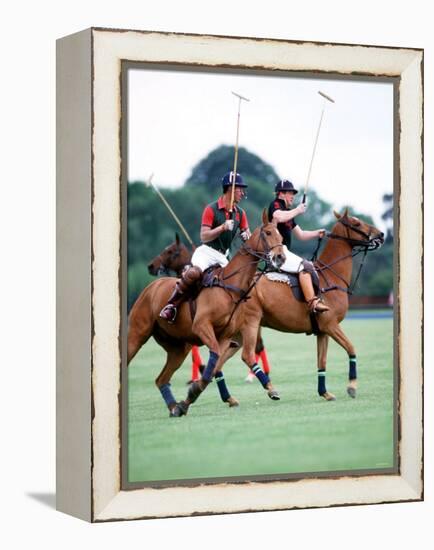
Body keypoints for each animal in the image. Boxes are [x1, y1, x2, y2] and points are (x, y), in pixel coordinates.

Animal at [127, 215, 284, 418]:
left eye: (280, 235)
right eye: (268, 233)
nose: (281, 257)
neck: (229, 287)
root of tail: (150, 287)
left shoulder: (225, 336)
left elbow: (212, 369)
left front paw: (189, 399)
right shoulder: (201, 327)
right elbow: (212, 367)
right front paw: (194, 394)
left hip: (178, 349)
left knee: (161, 379)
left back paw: (174, 407)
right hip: (137, 334)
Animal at [231, 209, 384, 404]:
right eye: (356, 223)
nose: (381, 234)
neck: (331, 277)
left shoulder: (323, 331)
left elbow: (322, 361)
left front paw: (324, 393)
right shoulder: (331, 325)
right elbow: (351, 349)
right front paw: (351, 387)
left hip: (237, 330)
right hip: (250, 323)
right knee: (247, 354)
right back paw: (270, 390)